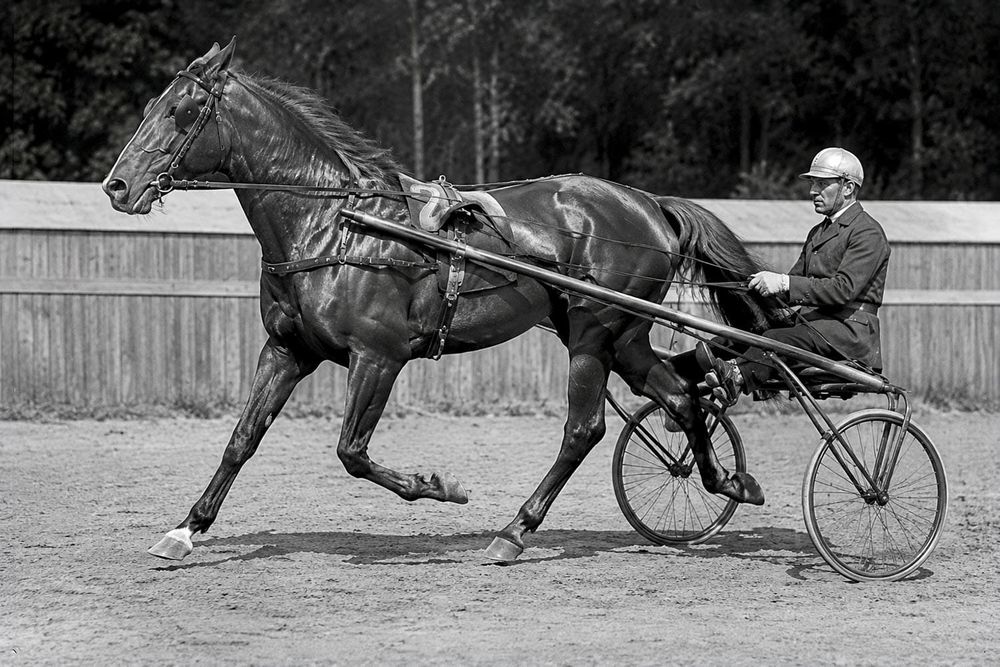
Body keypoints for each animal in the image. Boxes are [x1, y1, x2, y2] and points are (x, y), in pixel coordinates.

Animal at [102, 38, 786, 561]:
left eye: (182, 110)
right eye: (152, 104)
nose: (118, 185)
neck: (334, 225)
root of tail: (648, 205)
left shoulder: (378, 356)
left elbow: (352, 452)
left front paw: (439, 486)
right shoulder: (288, 349)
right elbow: (242, 439)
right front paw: (185, 530)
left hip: (596, 332)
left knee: (584, 429)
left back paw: (514, 531)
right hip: (620, 336)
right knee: (684, 392)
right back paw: (725, 478)